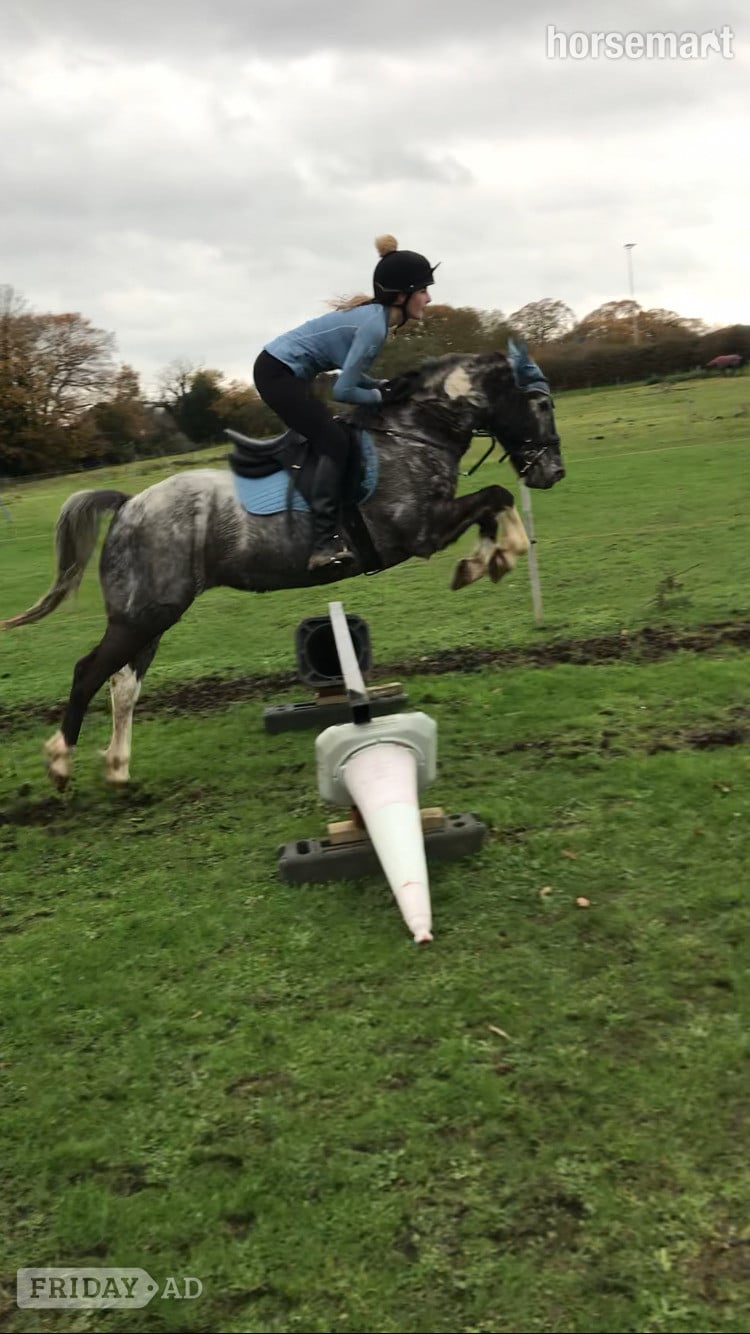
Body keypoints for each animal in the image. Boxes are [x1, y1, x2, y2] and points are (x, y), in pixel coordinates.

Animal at [2, 343, 564, 790]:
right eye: (541, 403)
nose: (553, 472)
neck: (415, 433)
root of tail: (128, 503)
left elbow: (493, 505)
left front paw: (488, 560)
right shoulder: (420, 532)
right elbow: (496, 496)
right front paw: (492, 558)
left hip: (150, 615)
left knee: (122, 682)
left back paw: (117, 768)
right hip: (145, 615)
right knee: (88, 673)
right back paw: (60, 762)